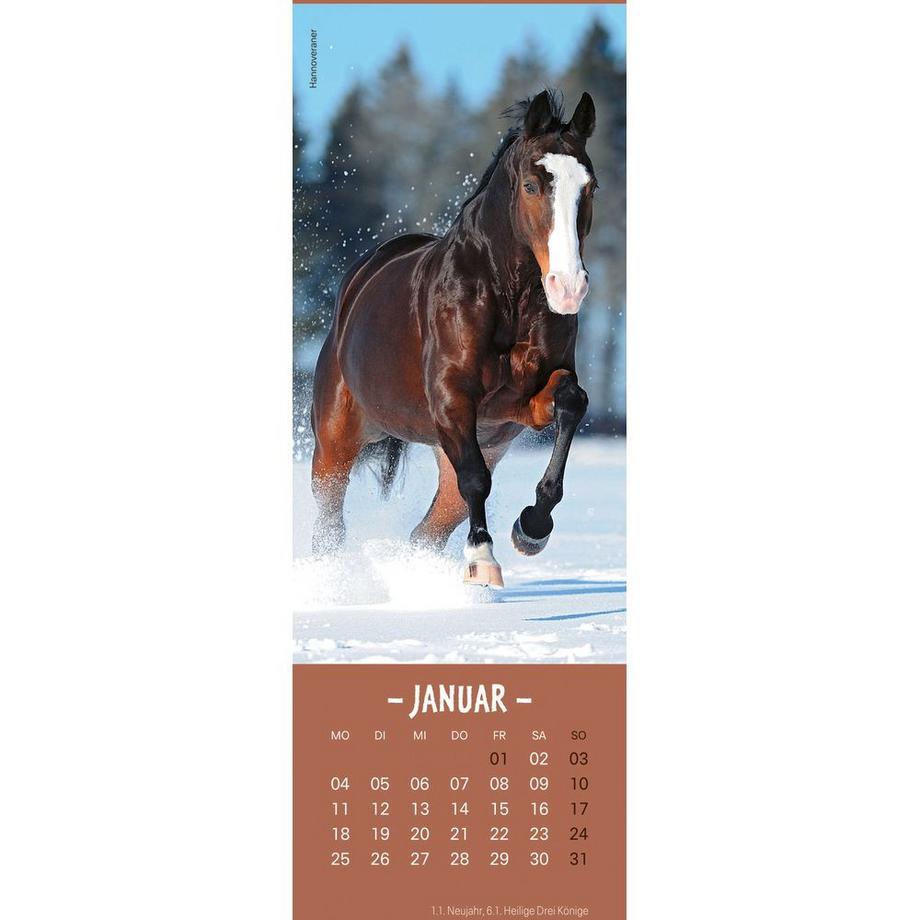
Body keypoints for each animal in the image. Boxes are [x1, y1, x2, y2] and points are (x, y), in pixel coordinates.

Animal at [310, 89, 598, 587]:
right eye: (531, 186)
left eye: (590, 187)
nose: (568, 288)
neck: (505, 297)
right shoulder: (452, 400)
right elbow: (477, 480)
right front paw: (483, 560)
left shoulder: (518, 406)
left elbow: (571, 402)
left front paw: (531, 529)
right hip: (334, 445)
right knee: (329, 526)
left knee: (426, 531)